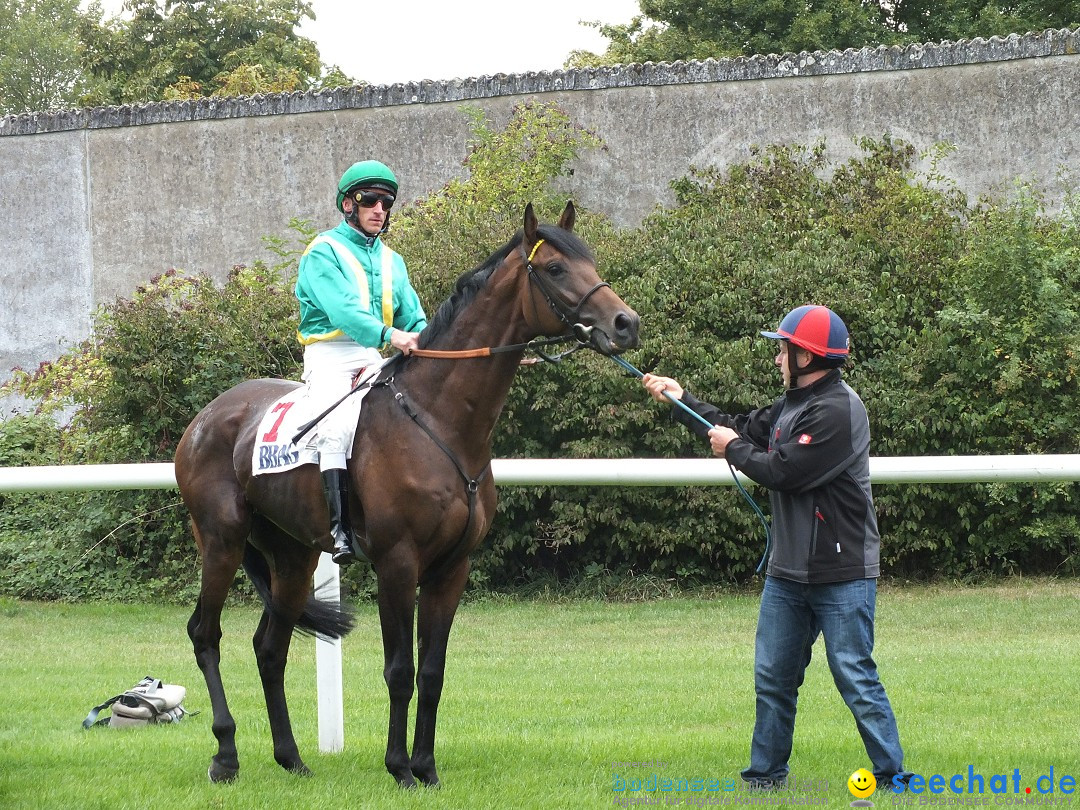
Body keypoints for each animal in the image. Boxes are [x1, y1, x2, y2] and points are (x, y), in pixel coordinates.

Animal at [172, 201, 635, 786]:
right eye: (554, 268)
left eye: (589, 260)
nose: (626, 323)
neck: (438, 421)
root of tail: (206, 418)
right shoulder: (397, 563)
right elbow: (400, 670)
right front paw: (400, 768)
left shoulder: (451, 568)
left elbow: (433, 672)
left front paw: (427, 766)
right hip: (221, 541)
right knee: (205, 635)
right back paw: (226, 753)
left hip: (293, 557)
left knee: (269, 648)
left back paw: (291, 757)